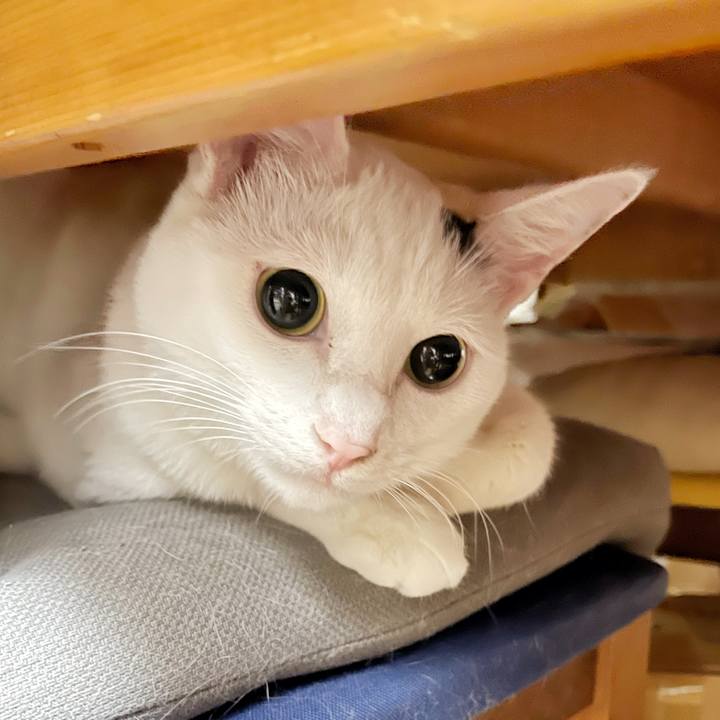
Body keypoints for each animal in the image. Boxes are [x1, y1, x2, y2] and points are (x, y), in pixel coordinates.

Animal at [0, 117, 651, 596]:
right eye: (289, 301)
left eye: (438, 360)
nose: (347, 446)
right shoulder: (104, 432)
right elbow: (232, 469)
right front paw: (399, 526)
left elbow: (530, 447)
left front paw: (426, 483)